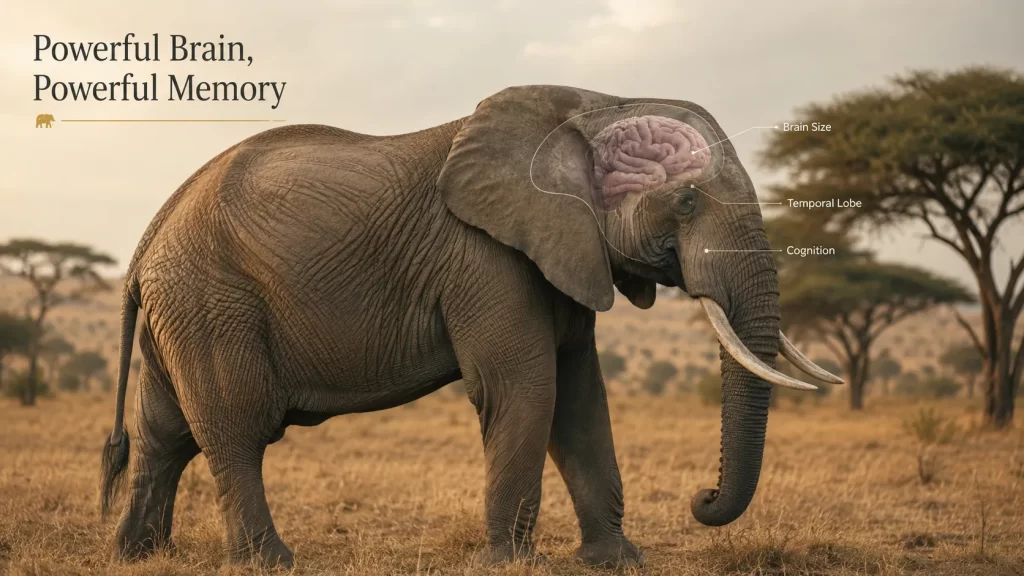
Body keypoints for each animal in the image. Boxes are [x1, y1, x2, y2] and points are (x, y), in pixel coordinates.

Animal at [98, 85, 841, 569]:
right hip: (212, 300)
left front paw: (618, 560)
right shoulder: (484, 258)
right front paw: (508, 562)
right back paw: (272, 561)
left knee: (164, 432)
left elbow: (579, 399)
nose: (702, 497)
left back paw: (140, 554)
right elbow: (525, 390)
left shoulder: (561, 246)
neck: (592, 100)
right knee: (236, 427)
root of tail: (146, 241)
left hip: (182, 307)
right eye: (686, 201)